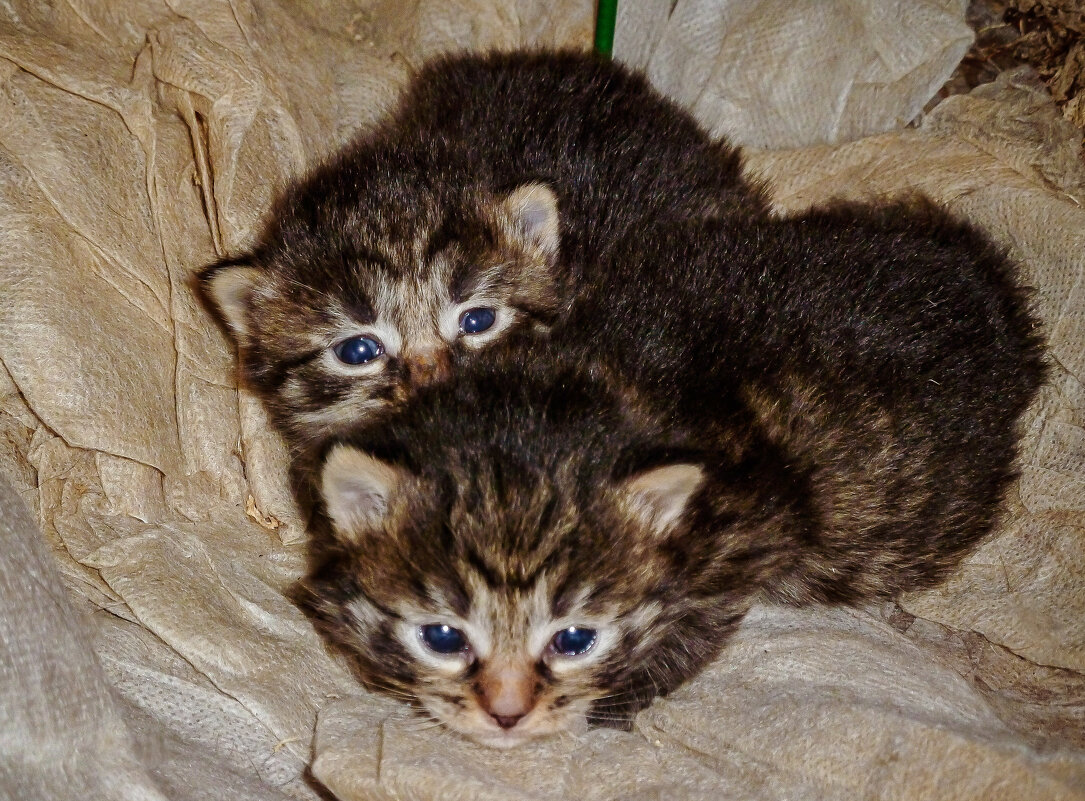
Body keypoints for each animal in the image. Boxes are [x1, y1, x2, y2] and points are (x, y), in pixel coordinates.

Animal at [292, 198, 1045, 742]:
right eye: (443, 637)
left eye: (574, 640)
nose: (507, 713)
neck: (558, 397)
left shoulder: (744, 535)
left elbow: (694, 626)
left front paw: (616, 698)